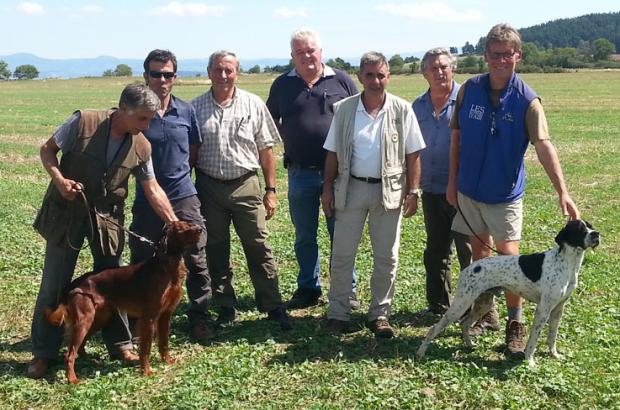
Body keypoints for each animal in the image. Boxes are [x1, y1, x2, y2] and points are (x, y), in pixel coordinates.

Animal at [46, 221, 201, 384]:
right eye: (181, 228)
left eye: (189, 224)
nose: (200, 229)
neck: (167, 266)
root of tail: (75, 284)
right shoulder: (149, 318)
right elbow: (146, 348)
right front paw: (146, 371)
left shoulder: (166, 314)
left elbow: (164, 342)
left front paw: (167, 361)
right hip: (85, 319)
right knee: (69, 354)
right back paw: (72, 379)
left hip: (100, 317)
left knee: (79, 346)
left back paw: (87, 361)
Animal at [416, 219, 600, 366]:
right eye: (579, 229)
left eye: (591, 226)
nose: (596, 234)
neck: (567, 263)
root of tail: (470, 268)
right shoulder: (543, 310)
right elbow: (534, 339)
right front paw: (529, 360)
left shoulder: (558, 309)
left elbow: (552, 337)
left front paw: (554, 355)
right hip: (461, 305)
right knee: (434, 329)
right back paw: (420, 353)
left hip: (483, 304)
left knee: (464, 323)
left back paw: (470, 345)